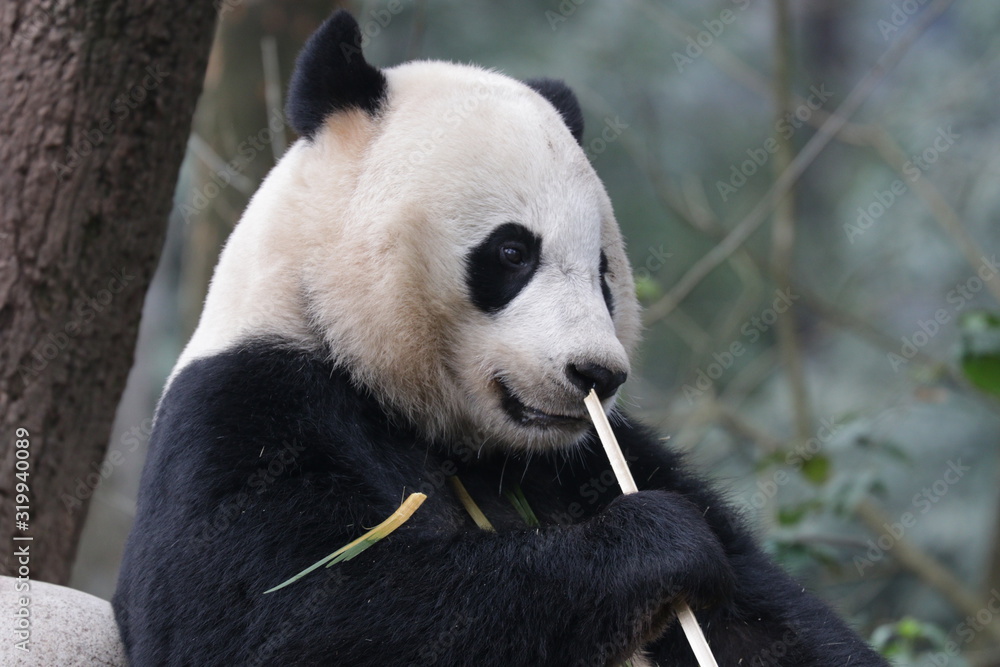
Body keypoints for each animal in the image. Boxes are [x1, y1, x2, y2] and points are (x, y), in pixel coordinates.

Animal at [113, 10, 888, 667]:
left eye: (604, 272)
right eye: (513, 252)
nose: (596, 373)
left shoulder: (591, 457)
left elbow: (771, 622)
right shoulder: (249, 406)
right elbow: (282, 617)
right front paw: (661, 542)